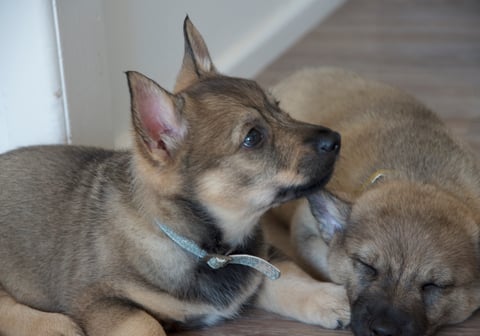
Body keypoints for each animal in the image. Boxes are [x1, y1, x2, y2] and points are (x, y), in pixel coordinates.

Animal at [0, 19, 350, 334]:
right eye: (253, 138)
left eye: (279, 108)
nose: (336, 140)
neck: (211, 252)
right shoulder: (99, 299)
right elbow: (145, 323)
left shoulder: (257, 262)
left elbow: (287, 276)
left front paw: (332, 298)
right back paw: (54, 326)